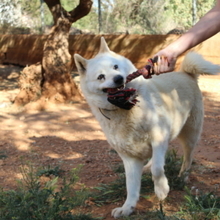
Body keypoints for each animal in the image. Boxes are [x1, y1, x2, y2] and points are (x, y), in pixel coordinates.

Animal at [74, 37, 220, 218]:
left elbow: (157, 169)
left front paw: (162, 190)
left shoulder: (159, 139)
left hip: (189, 135)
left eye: (115, 67)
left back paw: (182, 177)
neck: (128, 109)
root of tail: (186, 73)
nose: (118, 79)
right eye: (101, 76)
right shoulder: (129, 158)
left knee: (187, 158)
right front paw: (127, 208)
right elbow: (131, 187)